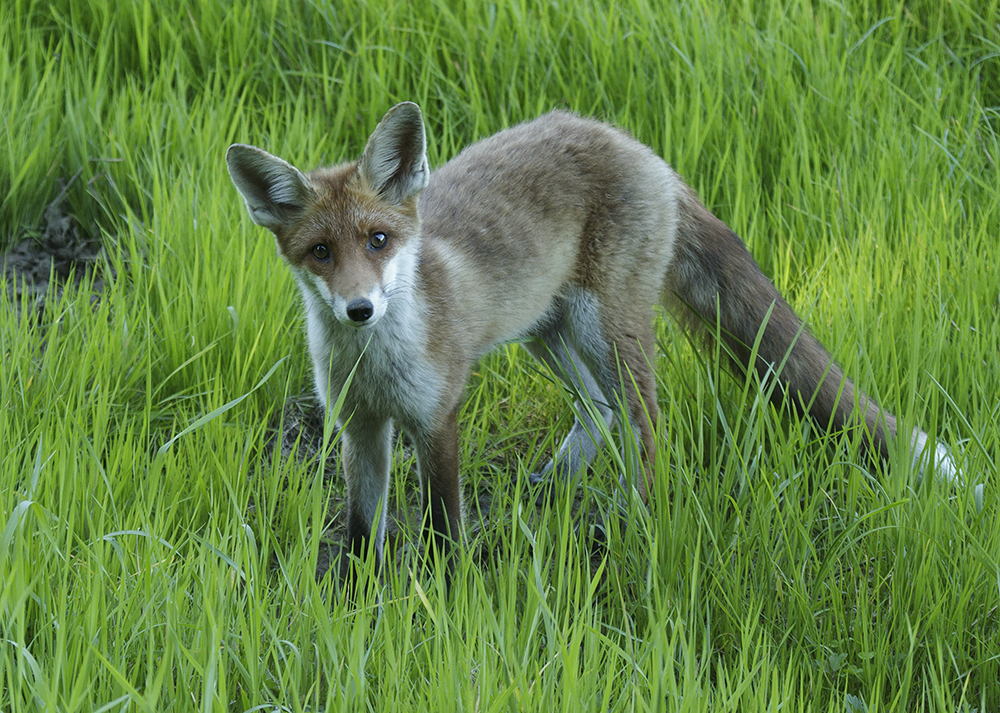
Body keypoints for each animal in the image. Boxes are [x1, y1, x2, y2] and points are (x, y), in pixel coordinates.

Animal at [225, 100, 952, 576]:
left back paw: (635, 524)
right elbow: (359, 530)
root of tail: (634, 143)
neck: (376, 363)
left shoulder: (436, 417)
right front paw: (359, 604)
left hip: (605, 327)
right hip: (547, 330)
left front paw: (444, 598)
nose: (360, 309)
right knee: (600, 412)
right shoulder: (359, 424)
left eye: (378, 240)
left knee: (645, 418)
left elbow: (442, 527)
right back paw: (548, 490)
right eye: (320, 252)